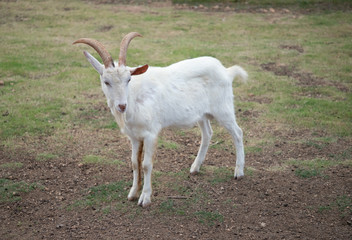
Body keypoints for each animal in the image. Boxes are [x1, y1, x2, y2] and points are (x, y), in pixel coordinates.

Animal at [73, 32, 248, 208]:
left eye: (128, 79)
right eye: (106, 81)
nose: (122, 105)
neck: (135, 98)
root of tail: (226, 71)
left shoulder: (151, 133)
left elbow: (146, 164)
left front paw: (145, 198)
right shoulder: (134, 136)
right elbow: (134, 163)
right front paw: (132, 193)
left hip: (223, 109)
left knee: (238, 132)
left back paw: (238, 172)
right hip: (202, 114)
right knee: (207, 134)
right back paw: (195, 167)